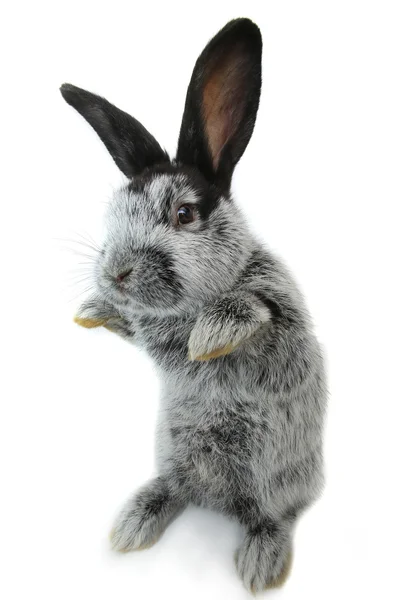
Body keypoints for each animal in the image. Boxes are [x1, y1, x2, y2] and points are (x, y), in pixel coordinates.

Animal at [61, 16, 326, 592]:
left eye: (184, 214)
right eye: (114, 214)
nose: (116, 273)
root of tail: (223, 501)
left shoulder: (283, 331)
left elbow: (255, 309)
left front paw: (209, 336)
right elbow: (130, 326)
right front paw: (92, 310)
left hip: (276, 479)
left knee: (275, 517)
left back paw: (259, 564)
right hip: (174, 455)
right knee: (174, 488)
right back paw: (131, 526)